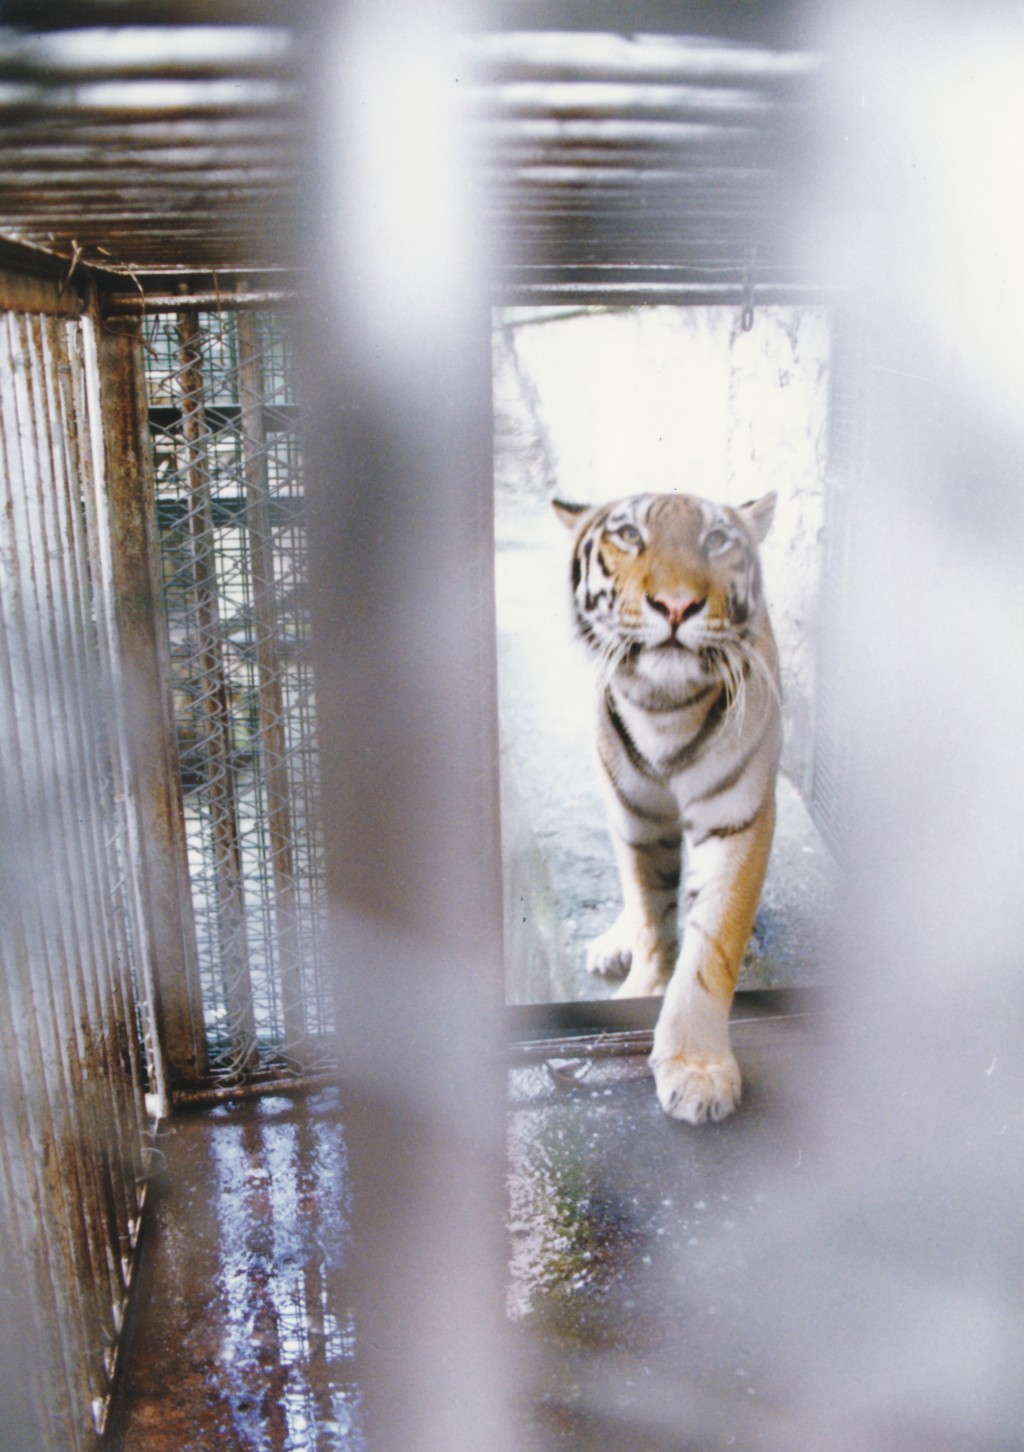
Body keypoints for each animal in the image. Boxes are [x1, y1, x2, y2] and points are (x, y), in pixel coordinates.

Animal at [554, 493, 778, 1126]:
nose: (677, 605)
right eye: (629, 535)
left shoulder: (738, 819)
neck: (665, 705)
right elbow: (650, 907)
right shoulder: (633, 814)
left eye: (717, 541)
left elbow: (710, 945)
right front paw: (643, 988)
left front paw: (697, 1067)